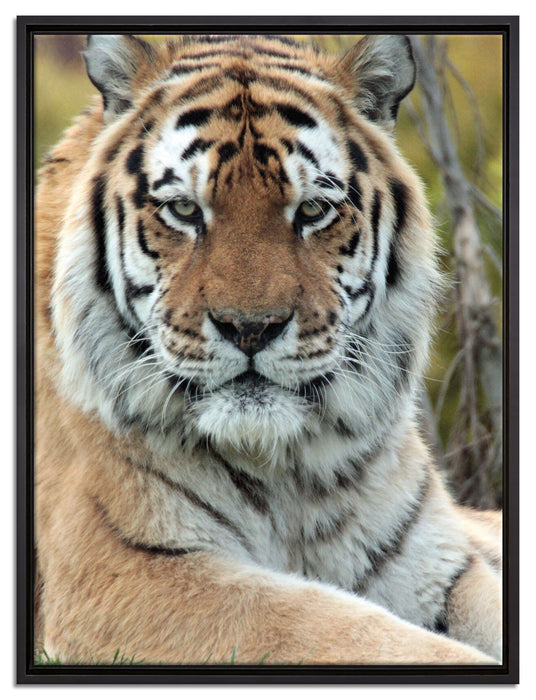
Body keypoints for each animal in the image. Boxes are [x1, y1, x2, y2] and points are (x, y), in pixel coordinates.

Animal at [34, 33, 502, 666]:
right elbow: (336, 629)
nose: (251, 329)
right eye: (184, 210)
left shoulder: (439, 562)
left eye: (312, 211)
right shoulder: (121, 570)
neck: (292, 471)